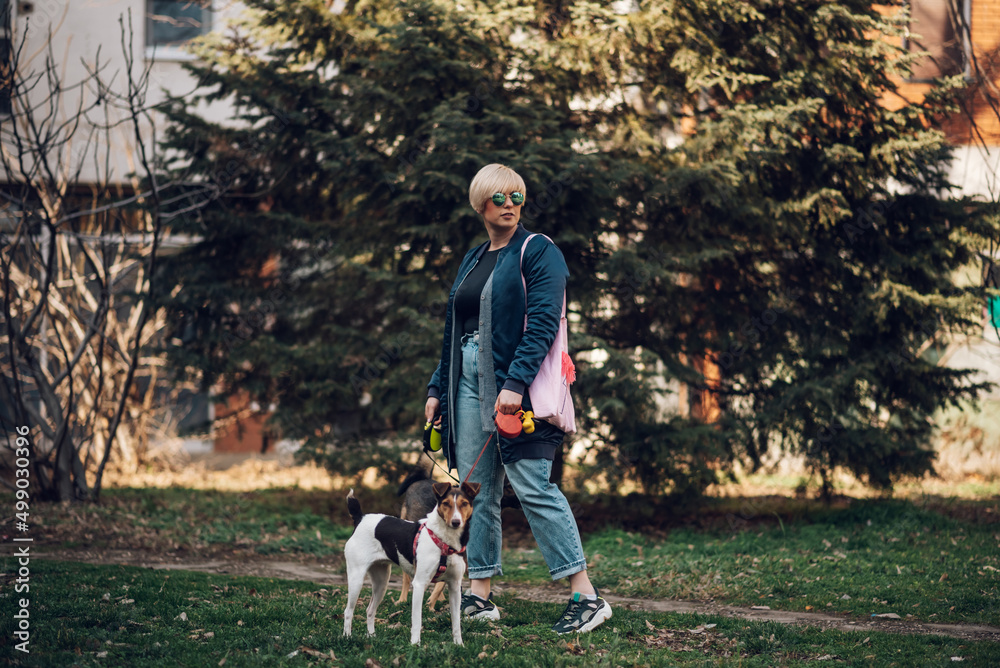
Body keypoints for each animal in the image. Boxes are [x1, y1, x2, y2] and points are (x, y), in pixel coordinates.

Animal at [344, 482, 480, 644]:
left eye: (464, 504)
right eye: (446, 503)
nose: (455, 522)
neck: (445, 541)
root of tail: (360, 518)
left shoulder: (454, 587)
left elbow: (456, 622)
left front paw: (459, 645)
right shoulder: (420, 584)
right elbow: (417, 620)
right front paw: (415, 644)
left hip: (381, 582)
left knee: (370, 610)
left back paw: (372, 636)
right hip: (356, 579)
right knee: (348, 611)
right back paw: (346, 637)